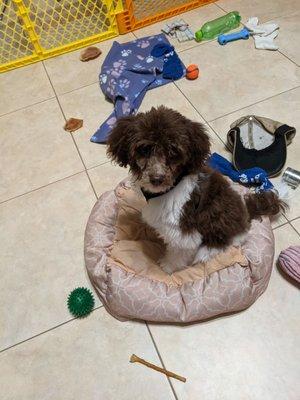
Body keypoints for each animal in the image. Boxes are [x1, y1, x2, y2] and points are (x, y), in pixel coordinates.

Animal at [107, 106, 284, 276]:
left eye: (173, 152)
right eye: (144, 149)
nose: (157, 179)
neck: (170, 187)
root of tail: (247, 212)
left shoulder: (184, 233)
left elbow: (177, 254)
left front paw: (167, 267)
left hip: (218, 221)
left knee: (223, 243)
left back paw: (204, 253)